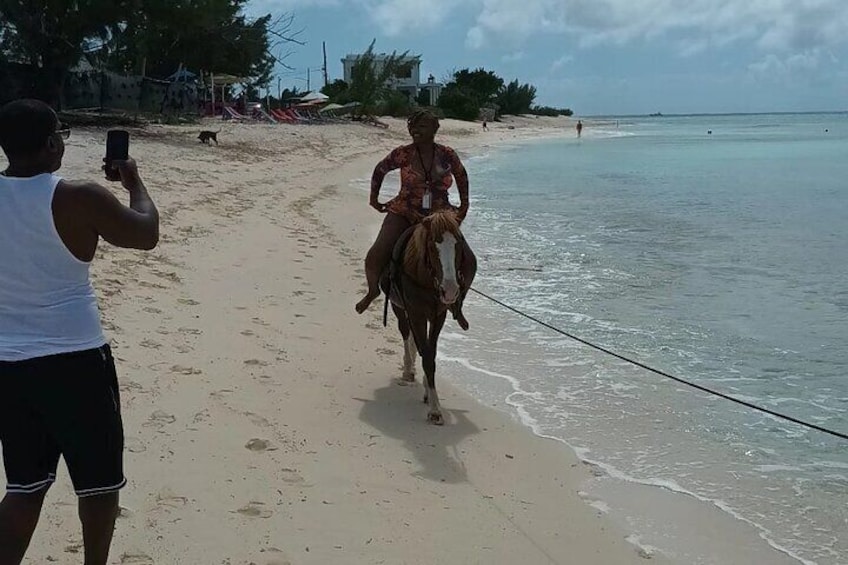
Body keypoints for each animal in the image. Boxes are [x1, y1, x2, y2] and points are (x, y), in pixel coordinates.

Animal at [382, 207, 474, 424]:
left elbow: (431, 352)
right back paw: (408, 370)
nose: (450, 290)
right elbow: (425, 353)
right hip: (398, 306)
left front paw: (430, 397)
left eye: (459, 244)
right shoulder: (416, 312)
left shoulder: (437, 315)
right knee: (405, 332)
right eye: (432, 246)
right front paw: (434, 409)